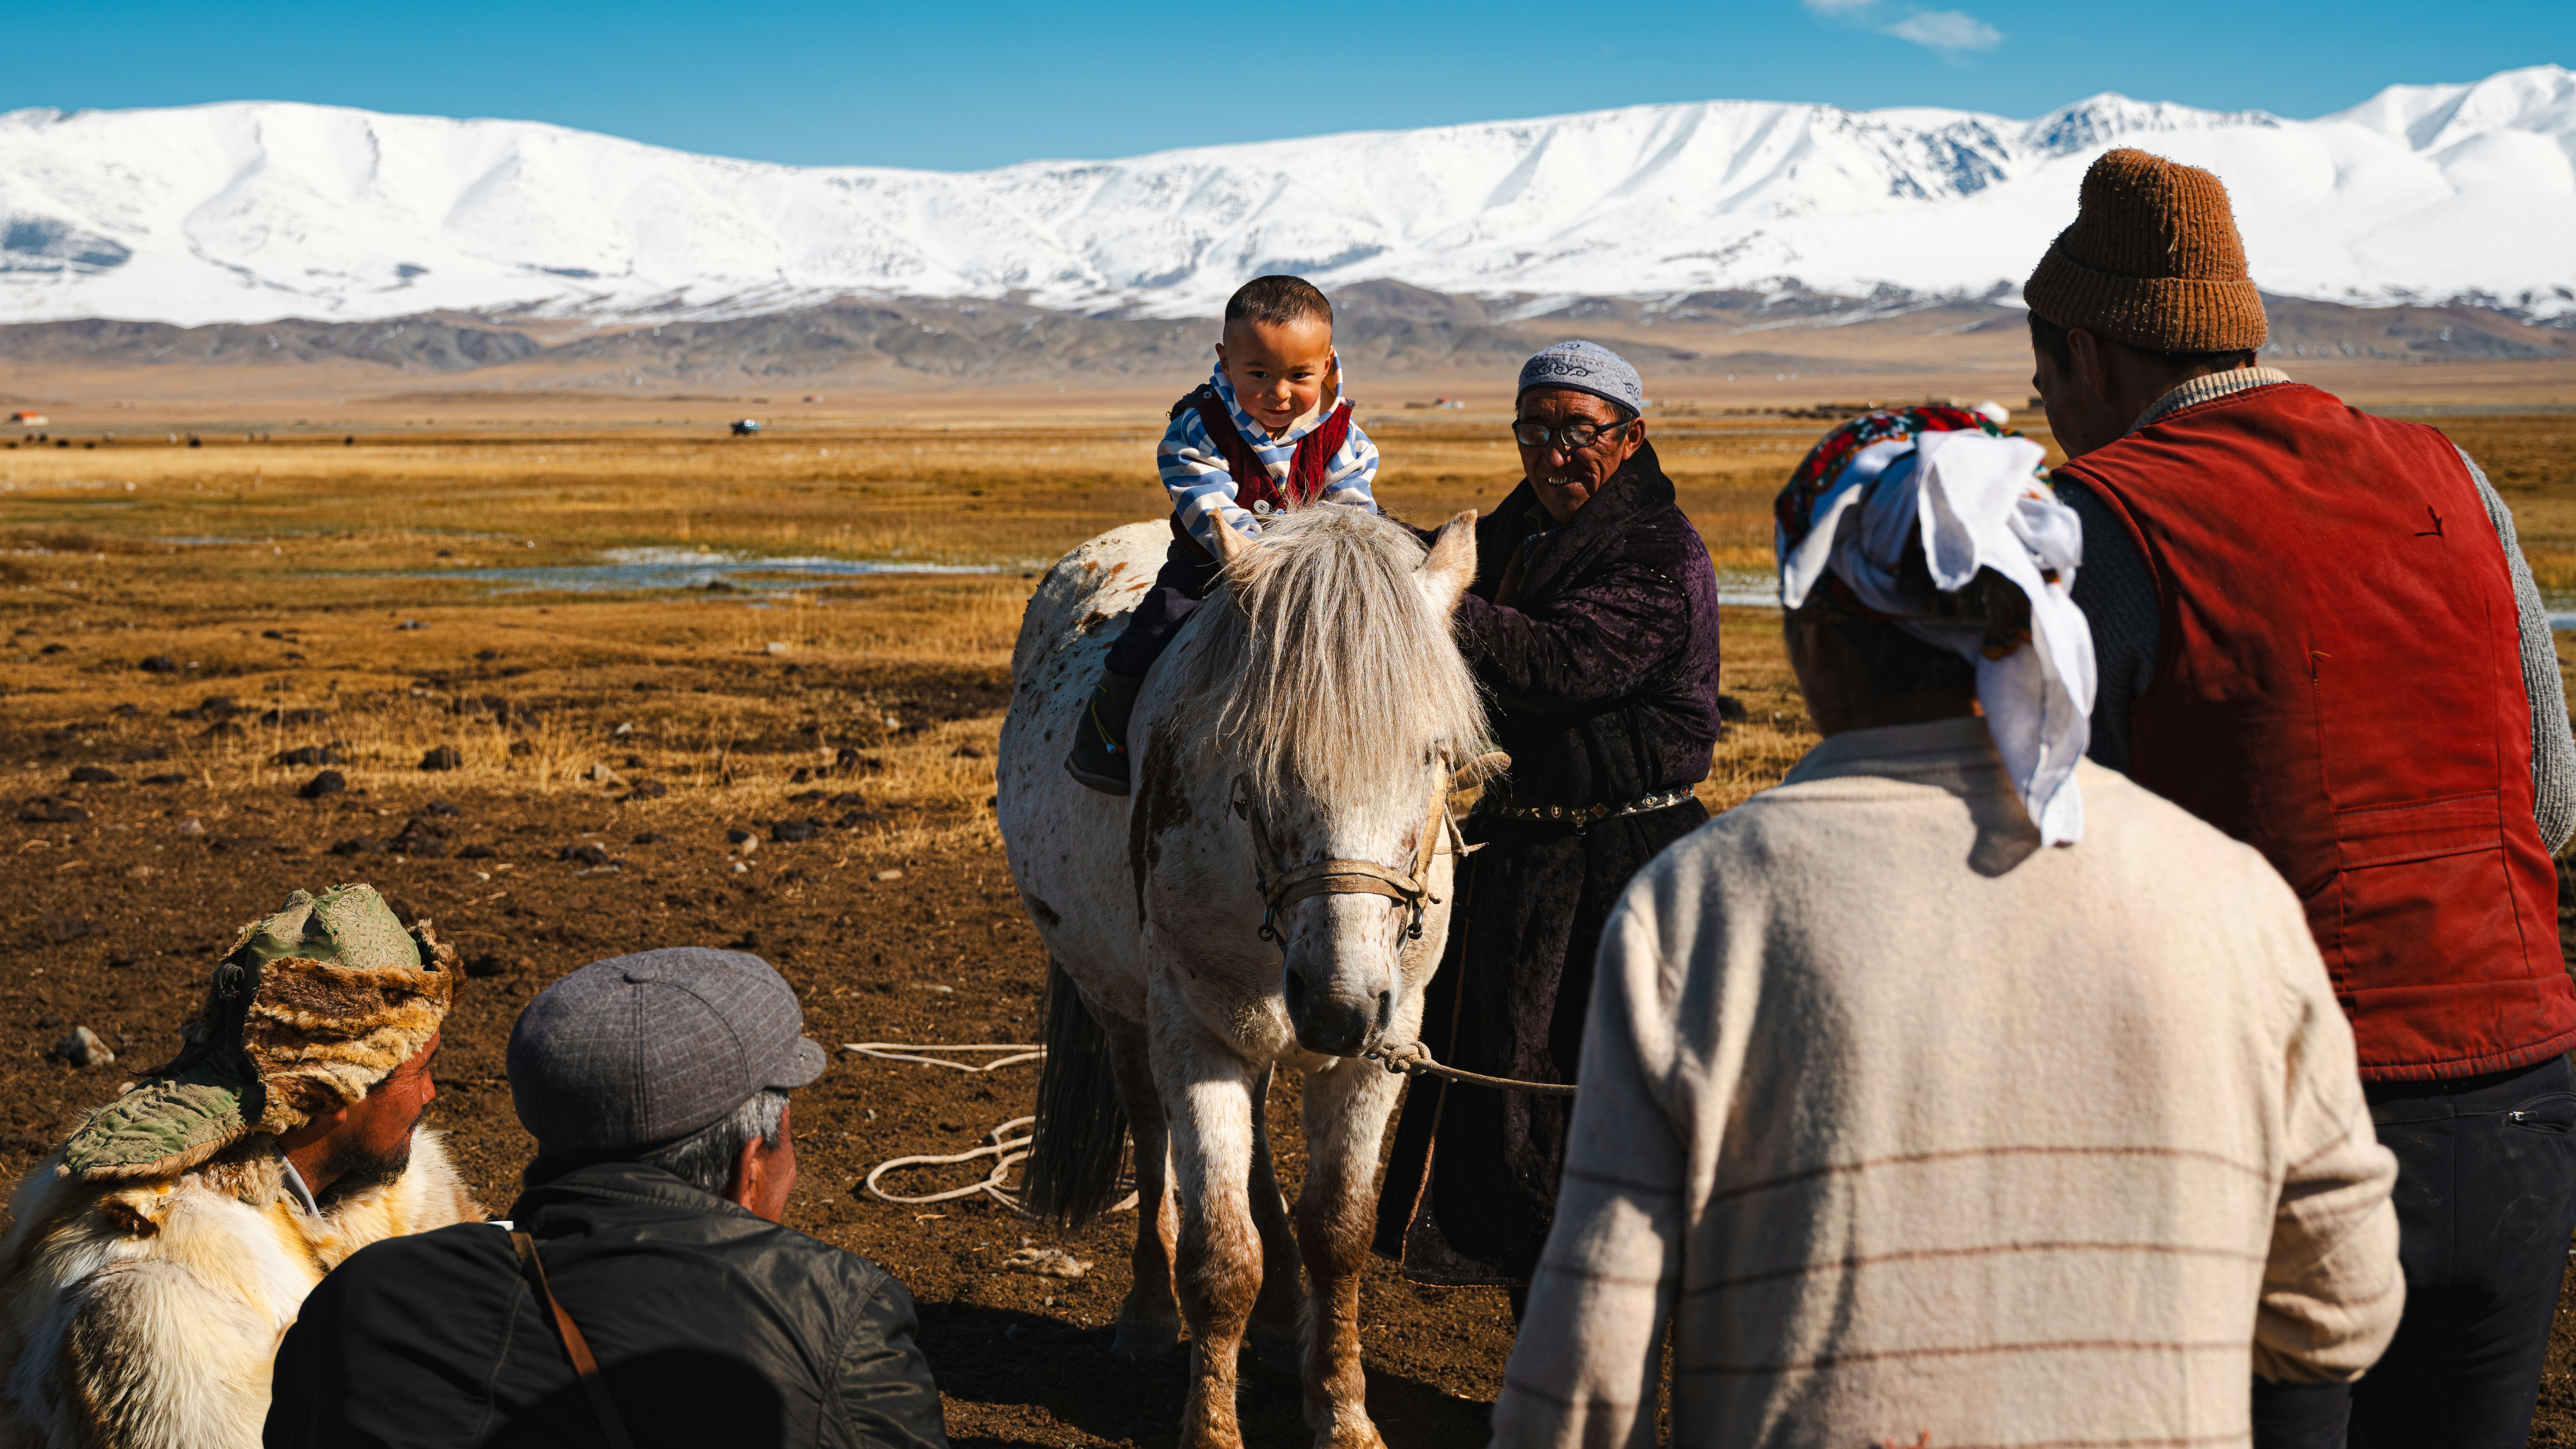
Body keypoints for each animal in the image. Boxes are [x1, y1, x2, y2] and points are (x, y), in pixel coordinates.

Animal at [996, 504, 1487, 1449]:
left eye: (1433, 756)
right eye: (1261, 760)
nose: (1336, 1008)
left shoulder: (1387, 1040)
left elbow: (1338, 1231)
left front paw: (1342, 1412)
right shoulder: (1195, 1029)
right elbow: (1219, 1254)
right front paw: (1214, 1425)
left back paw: (1283, 1321)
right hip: (1125, 1010)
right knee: (1154, 1144)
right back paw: (1148, 1317)